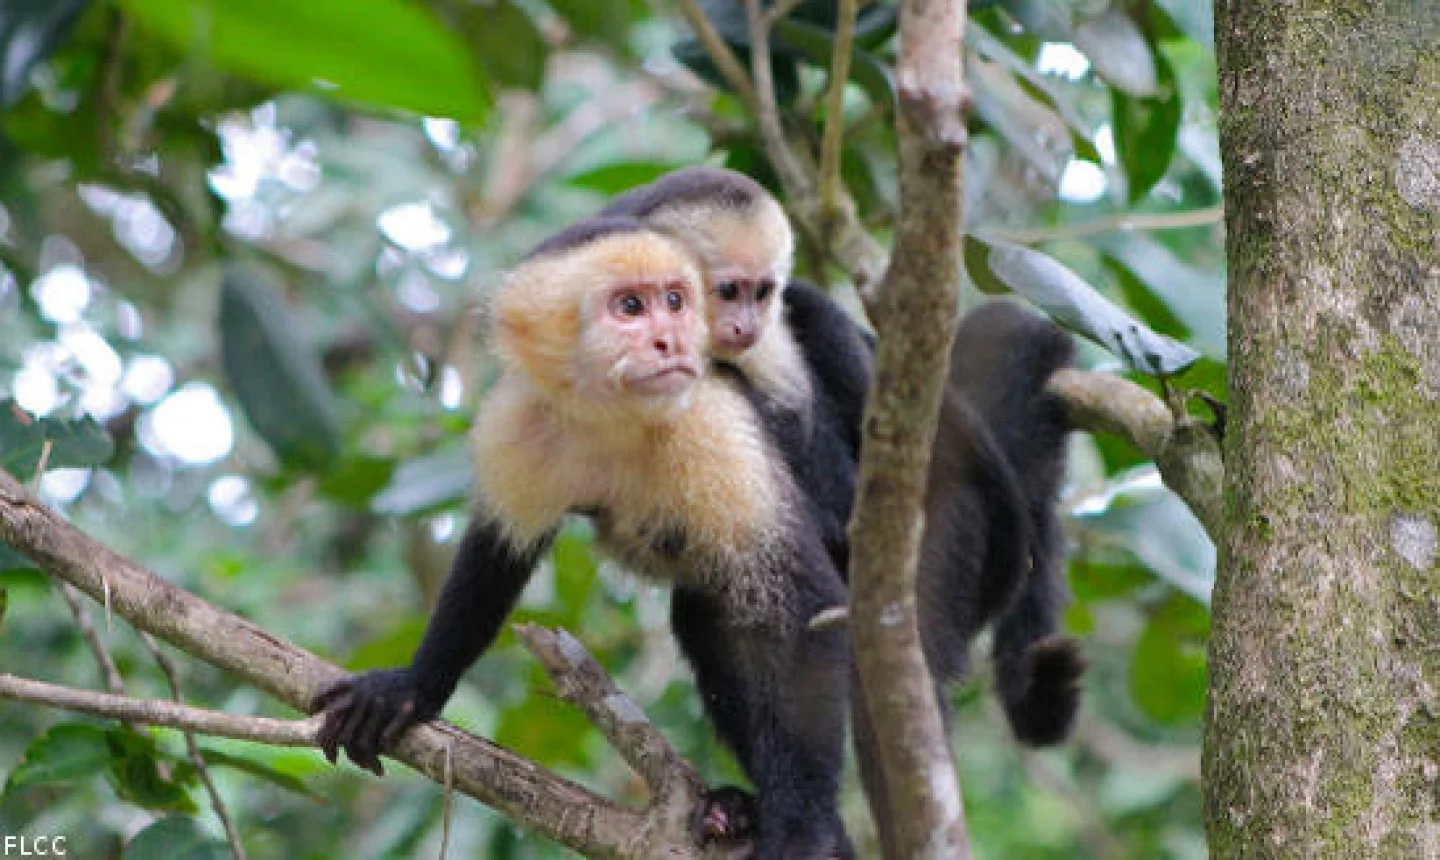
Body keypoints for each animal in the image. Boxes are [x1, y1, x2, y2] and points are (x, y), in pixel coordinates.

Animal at [314, 217, 855, 860]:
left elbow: (803, 611)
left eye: (675, 301)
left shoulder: (714, 423)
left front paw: (806, 831)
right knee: (709, 617)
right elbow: (495, 555)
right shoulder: (518, 422)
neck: (616, 416)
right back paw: (740, 810)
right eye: (630, 307)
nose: (670, 341)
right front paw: (411, 688)